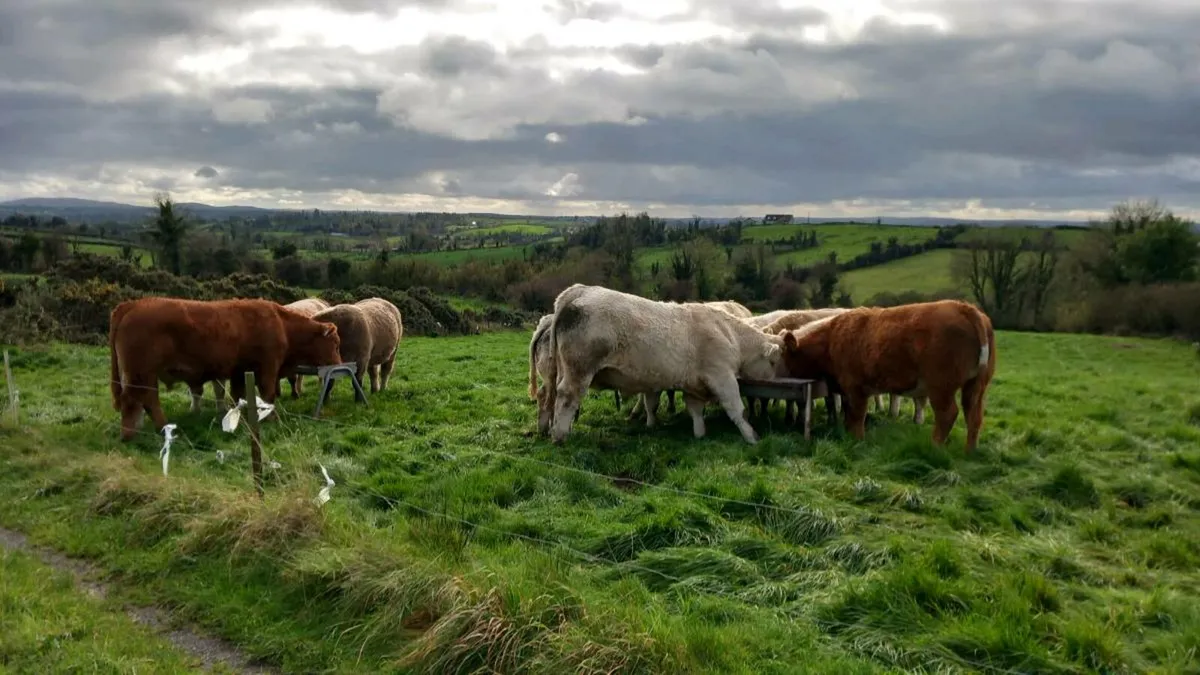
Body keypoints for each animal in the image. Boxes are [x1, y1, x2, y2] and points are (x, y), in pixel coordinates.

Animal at [109, 297, 342, 441]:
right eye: (336, 343)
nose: (339, 364)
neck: (282, 324)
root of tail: (132, 304)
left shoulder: (240, 372)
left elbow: (239, 396)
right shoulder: (268, 368)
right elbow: (267, 395)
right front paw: (271, 418)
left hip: (141, 376)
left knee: (143, 401)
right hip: (141, 374)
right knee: (140, 400)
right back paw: (142, 432)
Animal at [542, 285, 785, 445]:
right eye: (774, 362)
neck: (729, 333)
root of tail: (580, 290)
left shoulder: (694, 385)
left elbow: (696, 412)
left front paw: (700, 434)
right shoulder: (722, 376)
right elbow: (736, 409)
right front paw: (751, 436)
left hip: (562, 369)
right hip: (579, 369)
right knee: (567, 397)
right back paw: (560, 436)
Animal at [780, 299, 996, 451]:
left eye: (785, 356)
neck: (830, 340)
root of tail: (964, 307)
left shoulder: (856, 388)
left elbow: (857, 416)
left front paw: (857, 440)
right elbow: (849, 415)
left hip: (940, 387)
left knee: (947, 415)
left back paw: (934, 446)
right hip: (976, 386)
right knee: (974, 416)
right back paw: (970, 451)